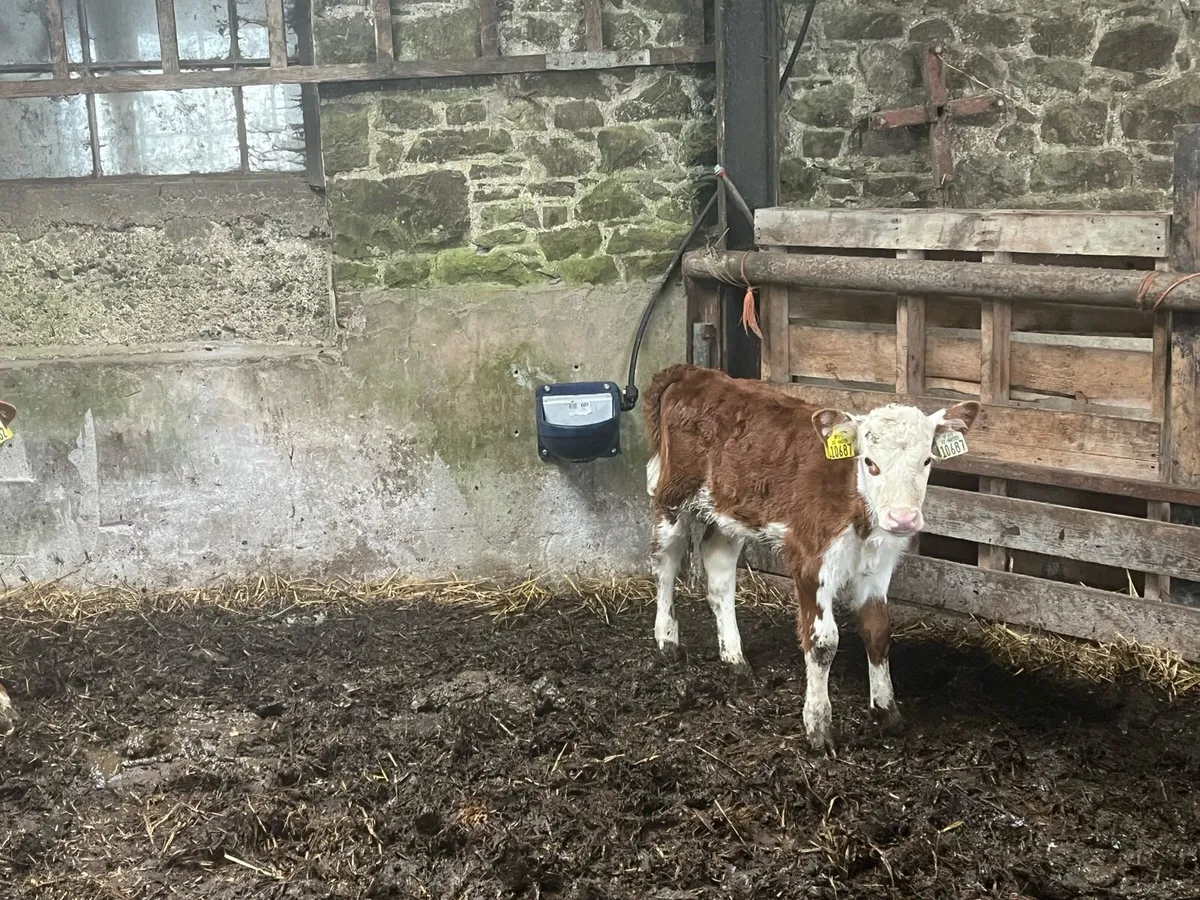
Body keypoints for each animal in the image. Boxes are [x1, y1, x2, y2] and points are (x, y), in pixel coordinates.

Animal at [643, 364, 979, 753]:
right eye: (870, 462)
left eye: (926, 461)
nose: (903, 519)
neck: (856, 506)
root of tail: (695, 373)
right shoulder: (809, 558)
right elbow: (823, 642)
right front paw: (818, 726)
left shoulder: (879, 565)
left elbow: (878, 629)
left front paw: (887, 710)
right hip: (672, 495)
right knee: (665, 562)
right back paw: (667, 640)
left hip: (730, 510)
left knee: (718, 570)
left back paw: (735, 657)